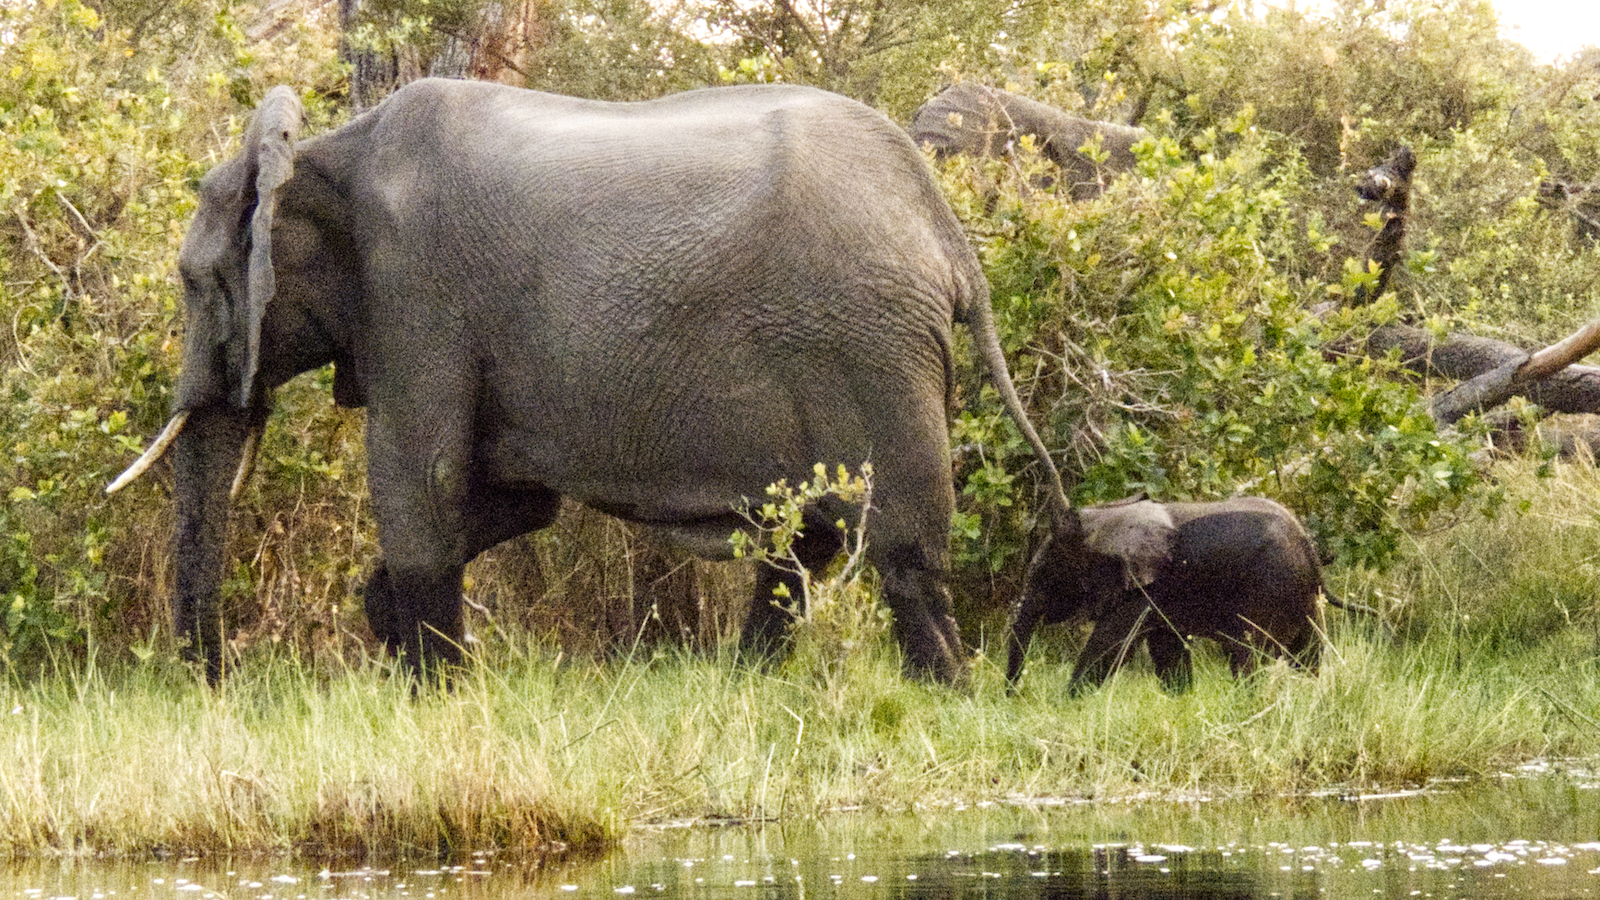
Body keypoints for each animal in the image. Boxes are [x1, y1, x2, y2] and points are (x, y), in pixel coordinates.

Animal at [106, 78, 1068, 679]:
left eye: (195, 282)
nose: (218, 687)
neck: (321, 151)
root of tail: (947, 236)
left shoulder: (417, 295)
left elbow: (422, 477)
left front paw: (436, 696)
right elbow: (515, 501)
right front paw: (405, 646)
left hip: (867, 345)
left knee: (894, 545)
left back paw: (948, 694)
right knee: (809, 539)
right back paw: (749, 685)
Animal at [1004, 493, 1331, 688]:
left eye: (1044, 574)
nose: (1014, 697)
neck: (1103, 519)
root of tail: (1308, 547)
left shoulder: (1142, 588)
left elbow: (1110, 644)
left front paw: (1067, 704)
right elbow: (1167, 651)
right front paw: (1181, 698)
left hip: (1269, 586)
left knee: (1247, 651)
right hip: (1302, 597)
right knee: (1308, 652)